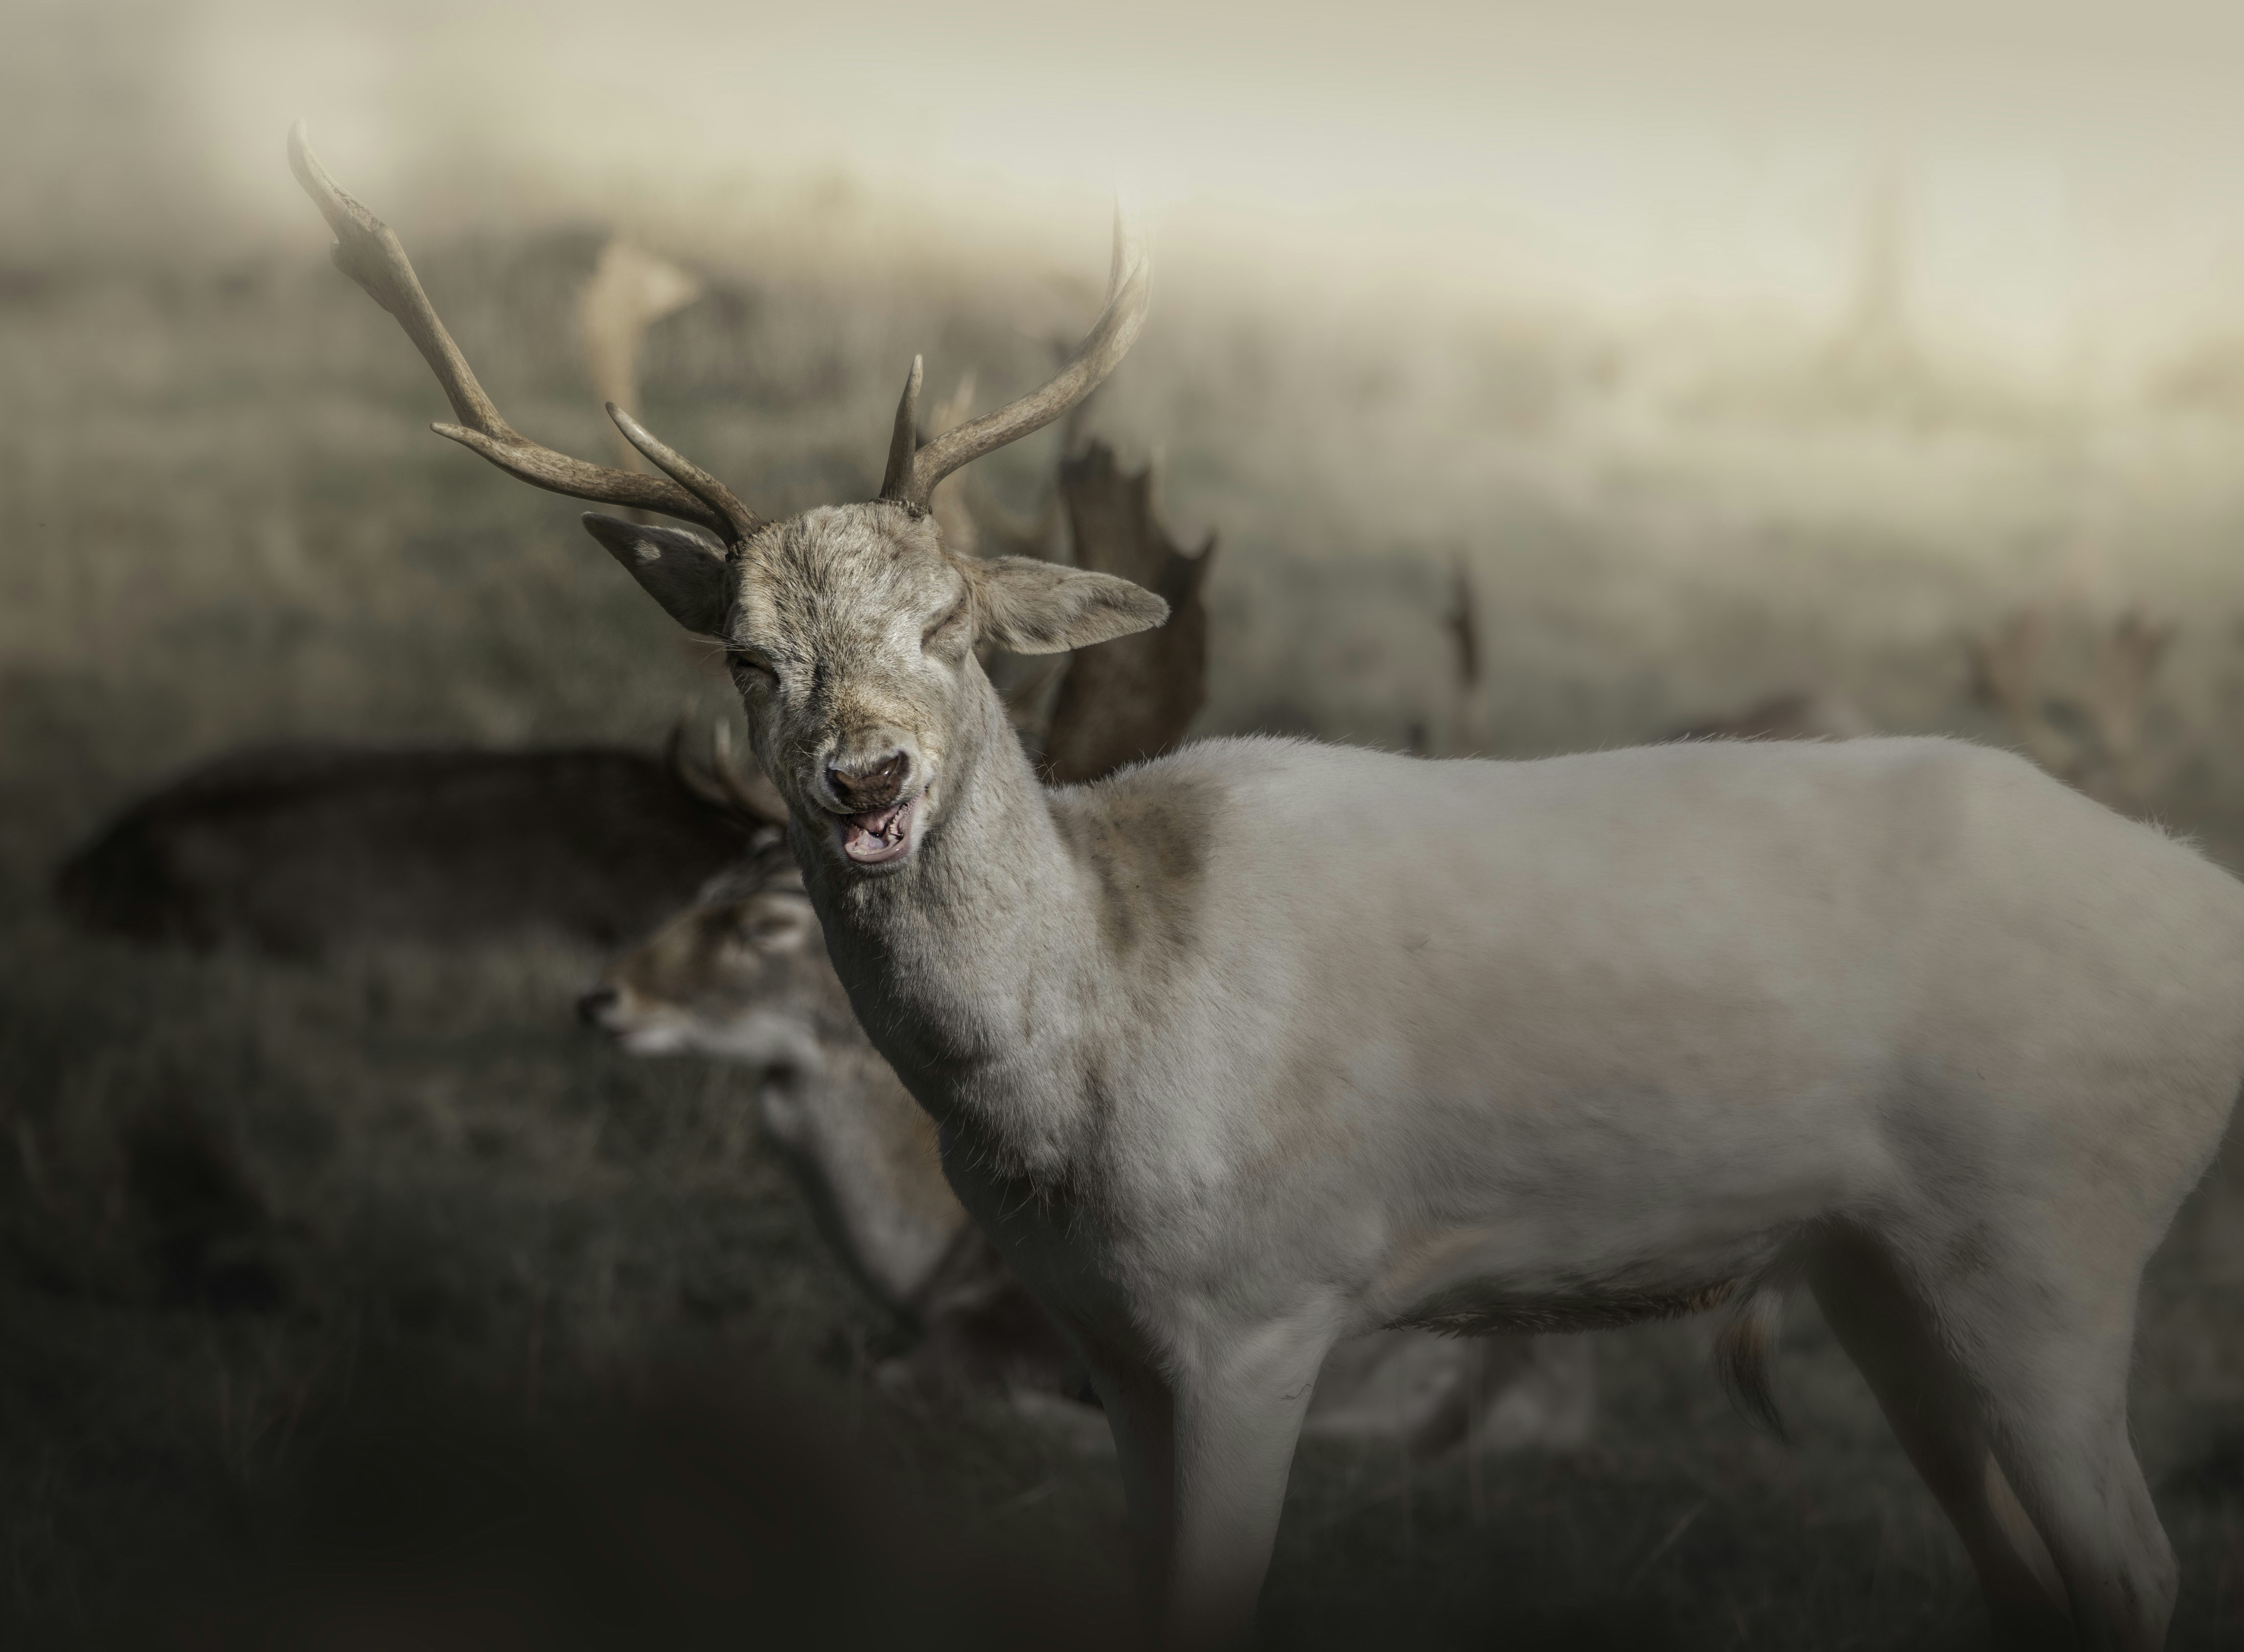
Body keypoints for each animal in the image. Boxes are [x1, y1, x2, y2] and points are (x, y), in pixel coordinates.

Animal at [294, 122, 2244, 1650]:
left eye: (949, 626)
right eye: (749, 657)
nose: (864, 781)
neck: (1081, 1071)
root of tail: (2208, 913)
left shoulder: (1261, 1308)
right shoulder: (1110, 1340)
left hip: (2048, 1233)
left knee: (2135, 1568)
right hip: (1875, 1266)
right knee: (2026, 1574)